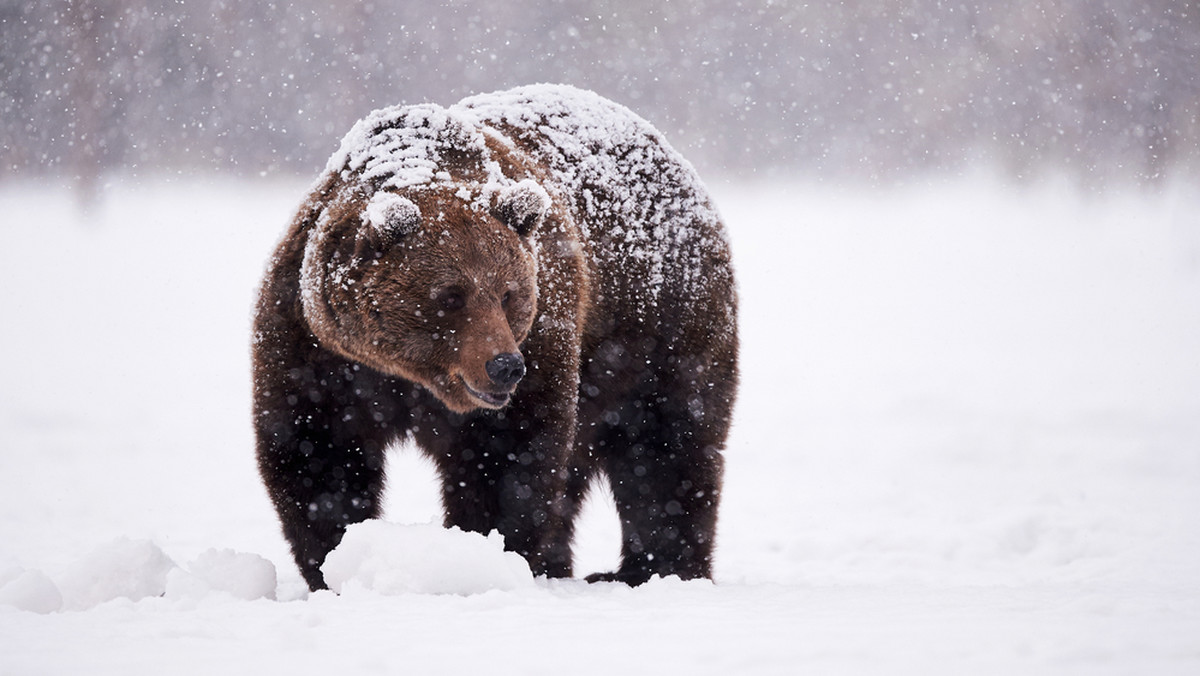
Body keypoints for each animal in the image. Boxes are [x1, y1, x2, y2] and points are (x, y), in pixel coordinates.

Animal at [253, 84, 734, 593]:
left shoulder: (544, 333)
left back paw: (655, 569)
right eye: (450, 295)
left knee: (667, 445)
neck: (409, 375)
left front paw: (481, 554)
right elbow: (318, 455)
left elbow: (505, 460)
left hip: (658, 327)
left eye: (508, 293)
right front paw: (335, 564)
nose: (505, 365)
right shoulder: (318, 350)